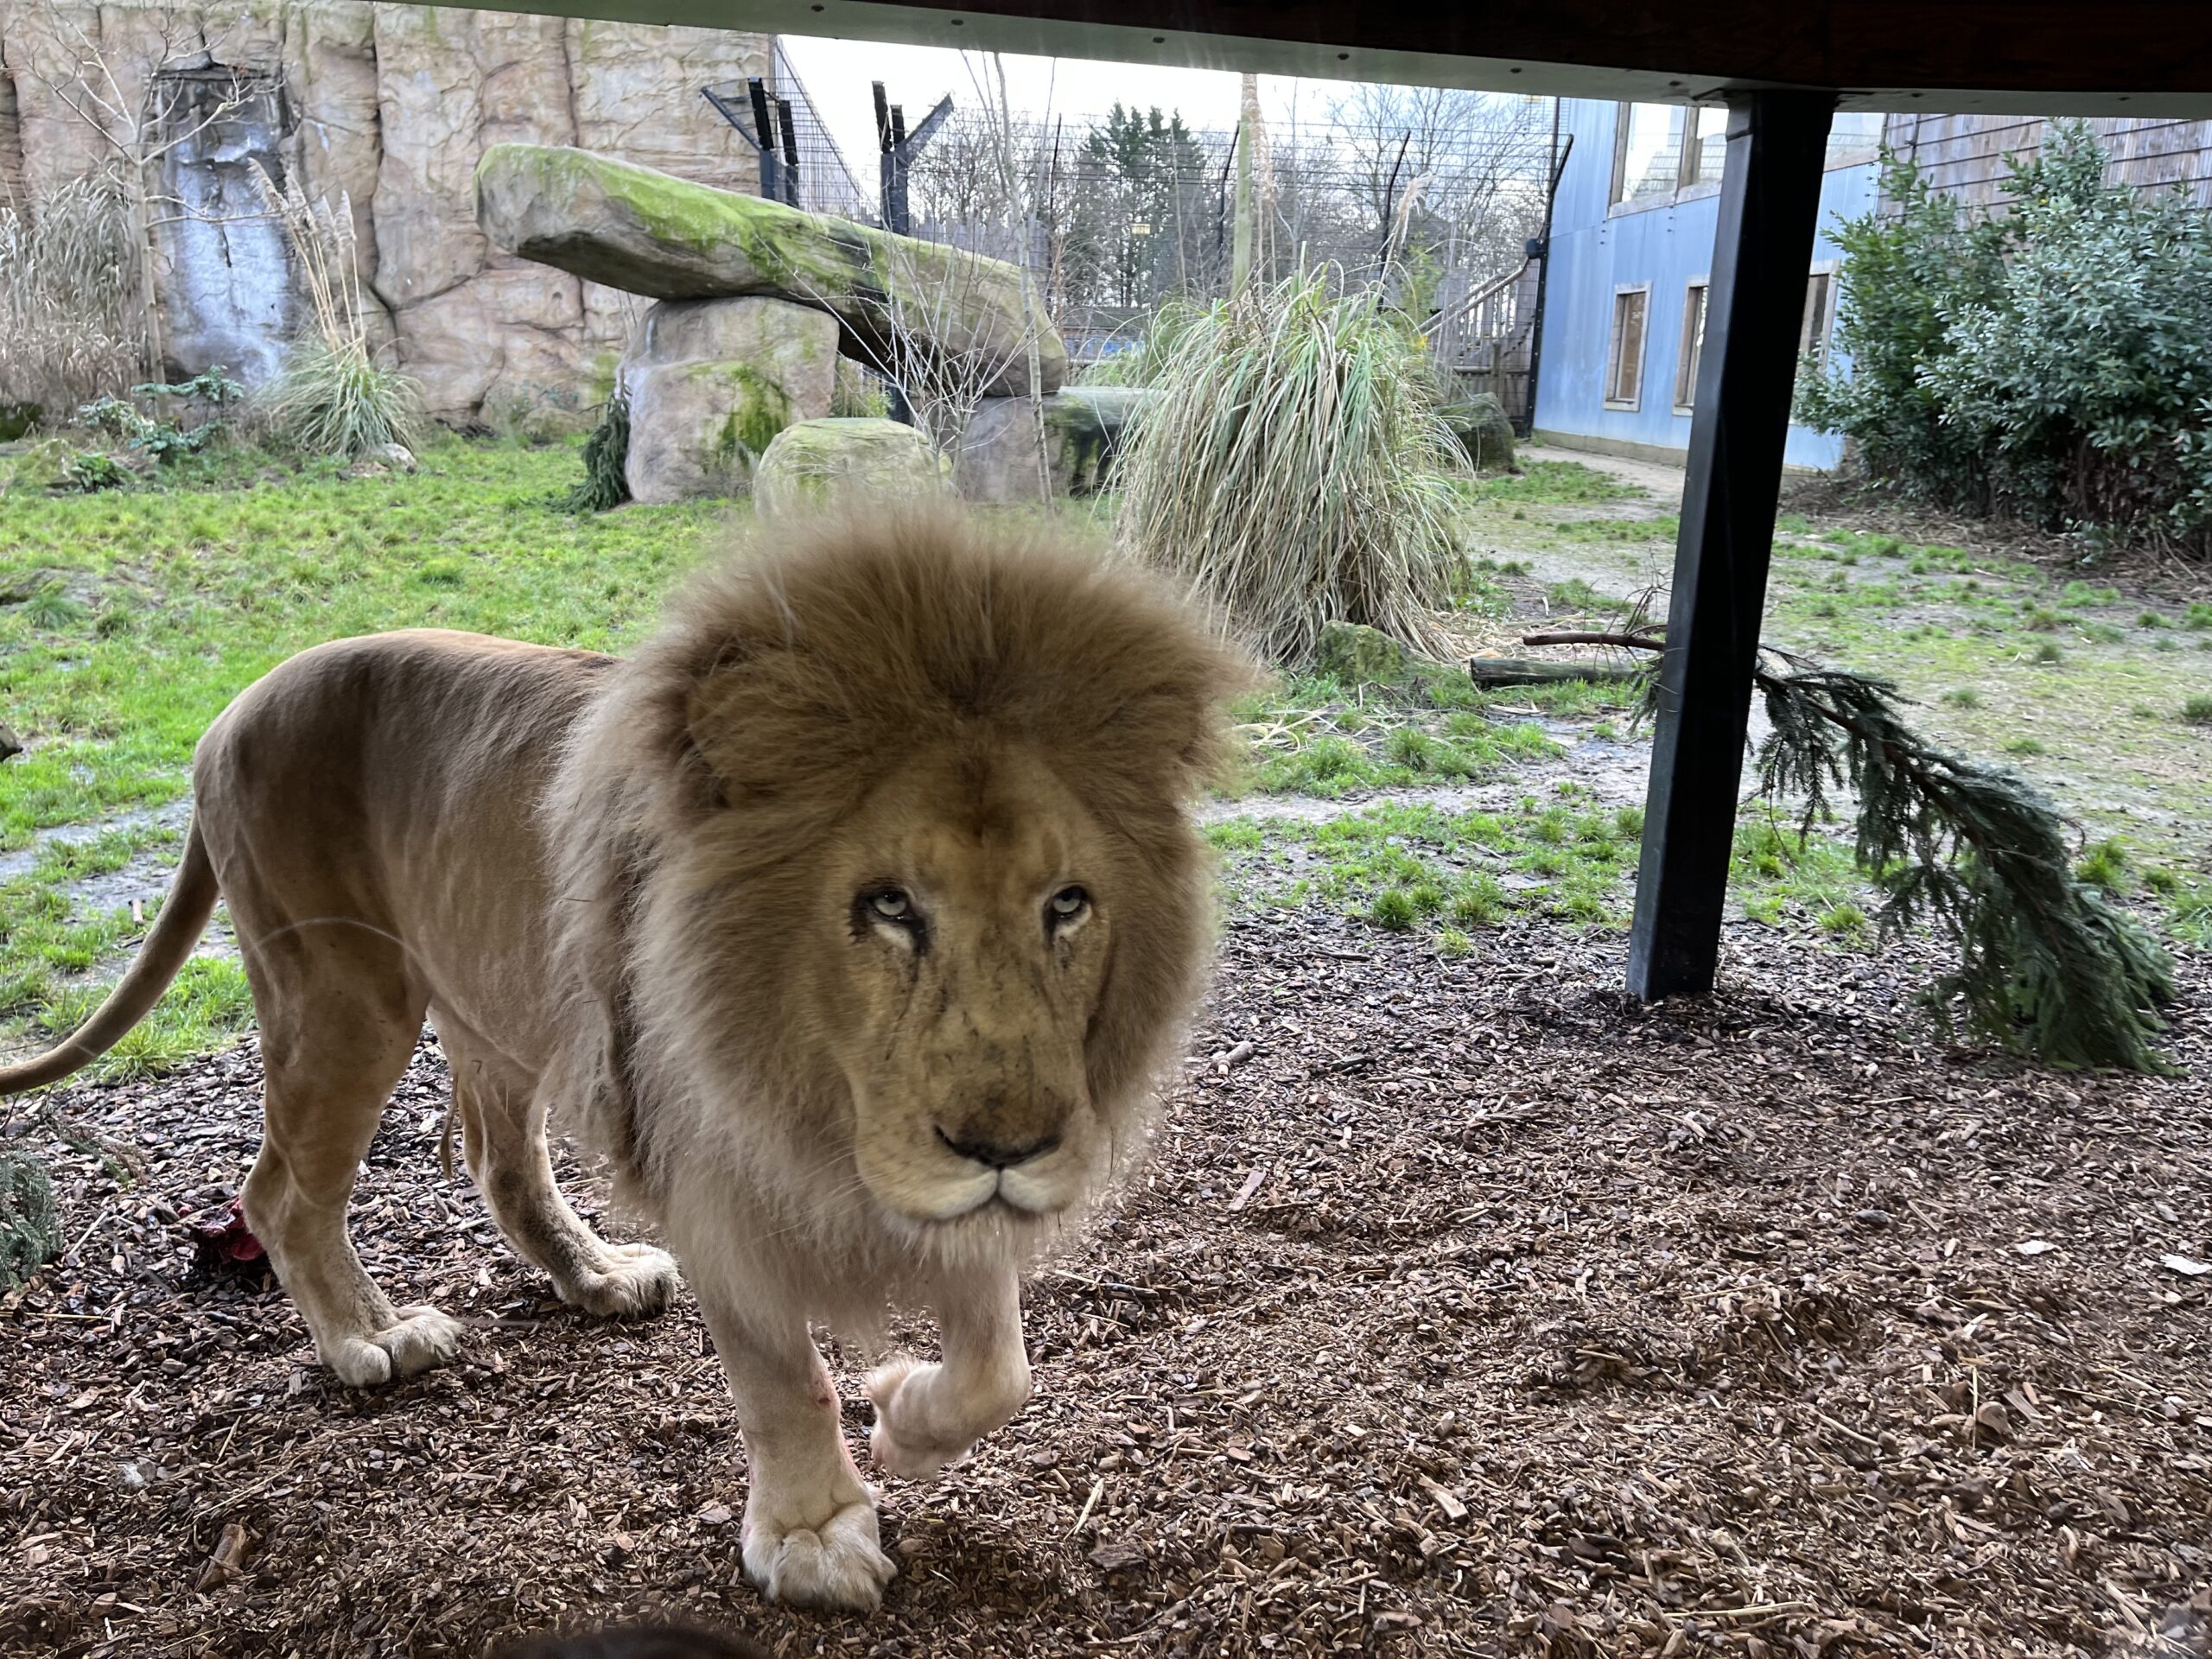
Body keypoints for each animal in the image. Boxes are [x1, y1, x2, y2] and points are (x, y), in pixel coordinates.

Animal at [0, 507, 1250, 1612]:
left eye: (1068, 903)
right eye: (889, 904)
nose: (1011, 1147)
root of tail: (234, 707)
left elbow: (999, 1366)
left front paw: (901, 1412)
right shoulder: (712, 1169)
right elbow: (782, 1376)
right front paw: (811, 1536)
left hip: (497, 991)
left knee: (500, 1163)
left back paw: (595, 1275)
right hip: (343, 998)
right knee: (281, 1191)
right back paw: (370, 1337)